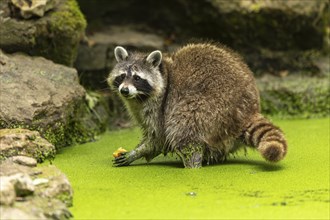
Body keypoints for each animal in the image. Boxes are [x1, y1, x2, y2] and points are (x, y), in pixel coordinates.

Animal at [107, 42, 286, 168]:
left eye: (137, 78)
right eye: (122, 76)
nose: (124, 90)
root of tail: (249, 109)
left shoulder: (160, 106)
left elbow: (158, 137)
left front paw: (138, 151)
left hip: (212, 107)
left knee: (183, 128)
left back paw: (192, 166)